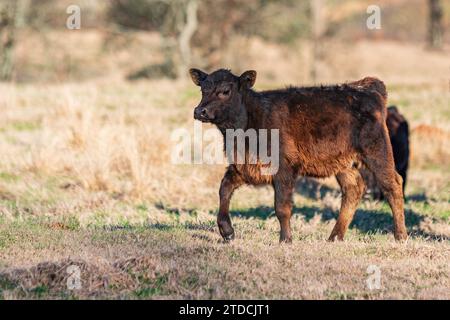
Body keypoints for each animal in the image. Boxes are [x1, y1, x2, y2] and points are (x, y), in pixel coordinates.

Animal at [189, 68, 408, 242]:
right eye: (203, 89)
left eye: (225, 91)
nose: (200, 111)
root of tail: (367, 87)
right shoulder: (241, 166)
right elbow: (224, 190)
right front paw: (227, 232)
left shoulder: (284, 170)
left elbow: (282, 207)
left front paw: (285, 239)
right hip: (343, 163)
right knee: (353, 188)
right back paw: (334, 237)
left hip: (376, 151)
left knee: (393, 185)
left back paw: (400, 236)